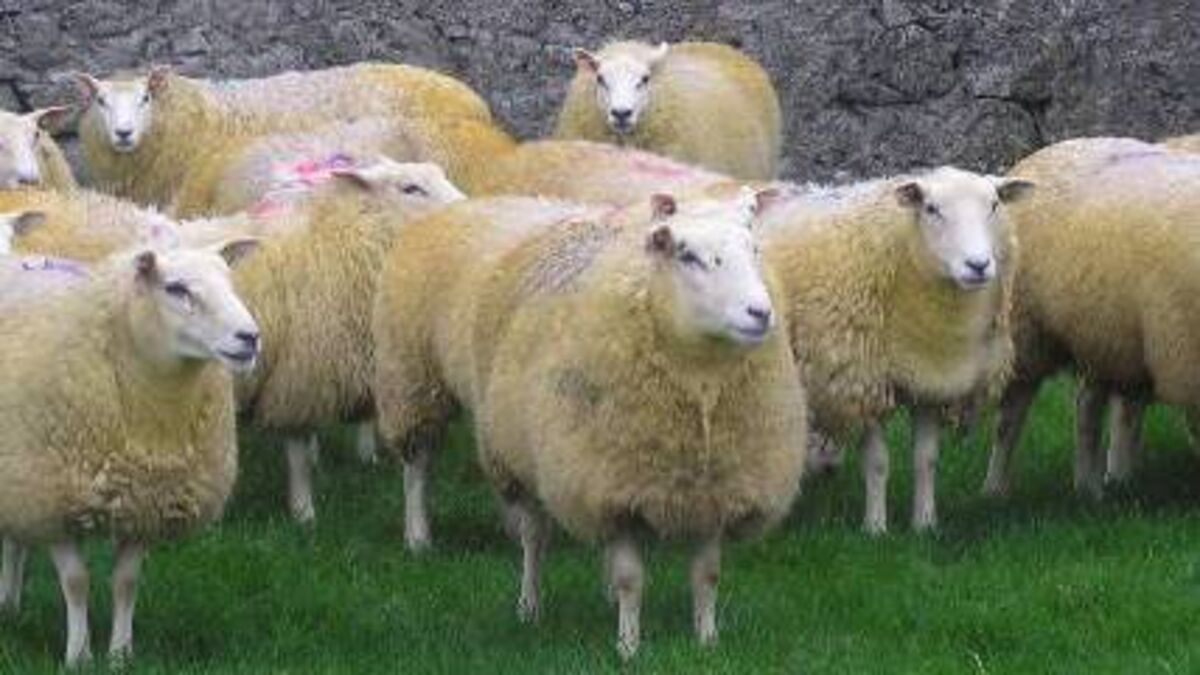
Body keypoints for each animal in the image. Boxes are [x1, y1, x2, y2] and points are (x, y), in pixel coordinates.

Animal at [0, 238, 260, 666]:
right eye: (176, 288)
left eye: (230, 281)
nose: (250, 337)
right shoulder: (51, 497)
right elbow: (76, 582)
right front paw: (79, 656)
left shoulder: (148, 501)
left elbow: (126, 582)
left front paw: (121, 654)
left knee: (14, 542)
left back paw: (9, 605)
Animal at [373, 189, 805, 659]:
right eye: (687, 255)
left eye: (755, 248)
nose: (760, 313)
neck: (700, 388)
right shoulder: (611, 487)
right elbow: (631, 578)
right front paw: (628, 646)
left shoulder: (716, 490)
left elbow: (706, 575)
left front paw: (707, 641)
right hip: (439, 397)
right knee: (509, 523)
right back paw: (503, 590)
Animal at [759, 167, 1033, 533]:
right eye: (931, 209)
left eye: (994, 205)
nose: (978, 265)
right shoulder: (865, 381)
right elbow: (878, 463)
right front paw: (875, 527)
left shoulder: (931, 384)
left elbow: (926, 460)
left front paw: (925, 523)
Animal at [981, 138, 1200, 499]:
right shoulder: (1184, 357)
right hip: (1028, 332)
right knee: (1011, 416)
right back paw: (995, 489)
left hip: (1107, 335)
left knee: (1092, 407)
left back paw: (1097, 484)